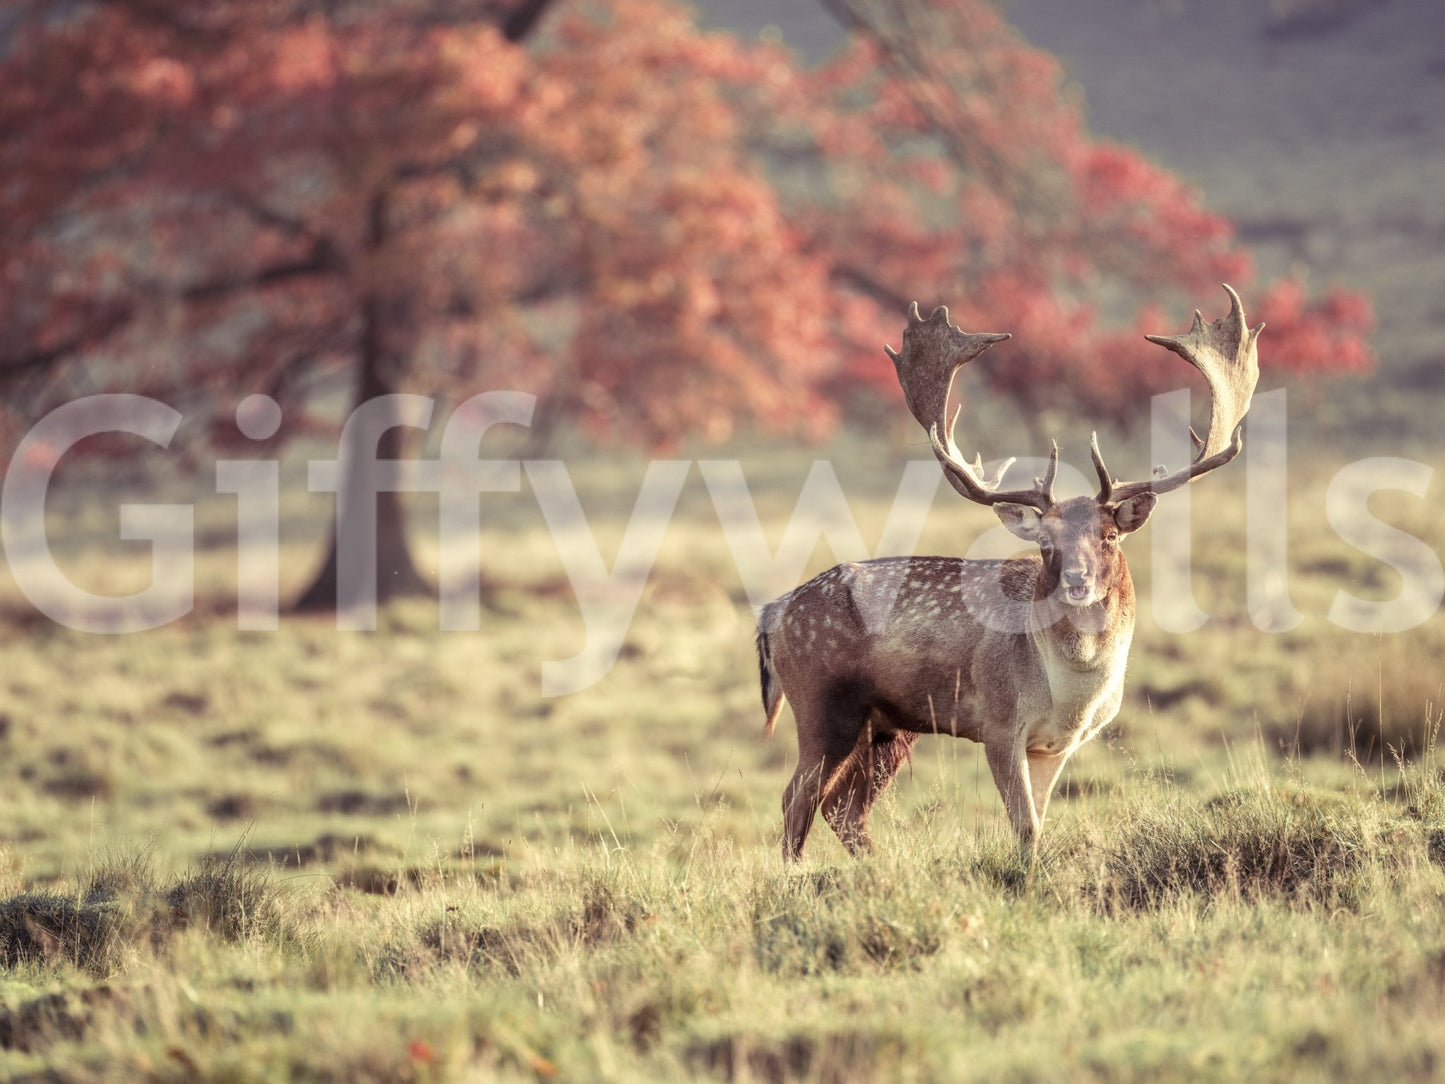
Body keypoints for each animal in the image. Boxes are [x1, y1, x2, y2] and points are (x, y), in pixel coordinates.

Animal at [756, 286, 1261, 861]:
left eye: (1109, 536)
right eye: (1045, 544)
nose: (1077, 582)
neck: (1071, 694)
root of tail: (771, 613)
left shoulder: (1055, 745)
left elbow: (1037, 823)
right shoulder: (998, 724)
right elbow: (1025, 826)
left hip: (887, 726)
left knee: (844, 808)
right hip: (823, 703)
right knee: (797, 798)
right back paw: (797, 874)